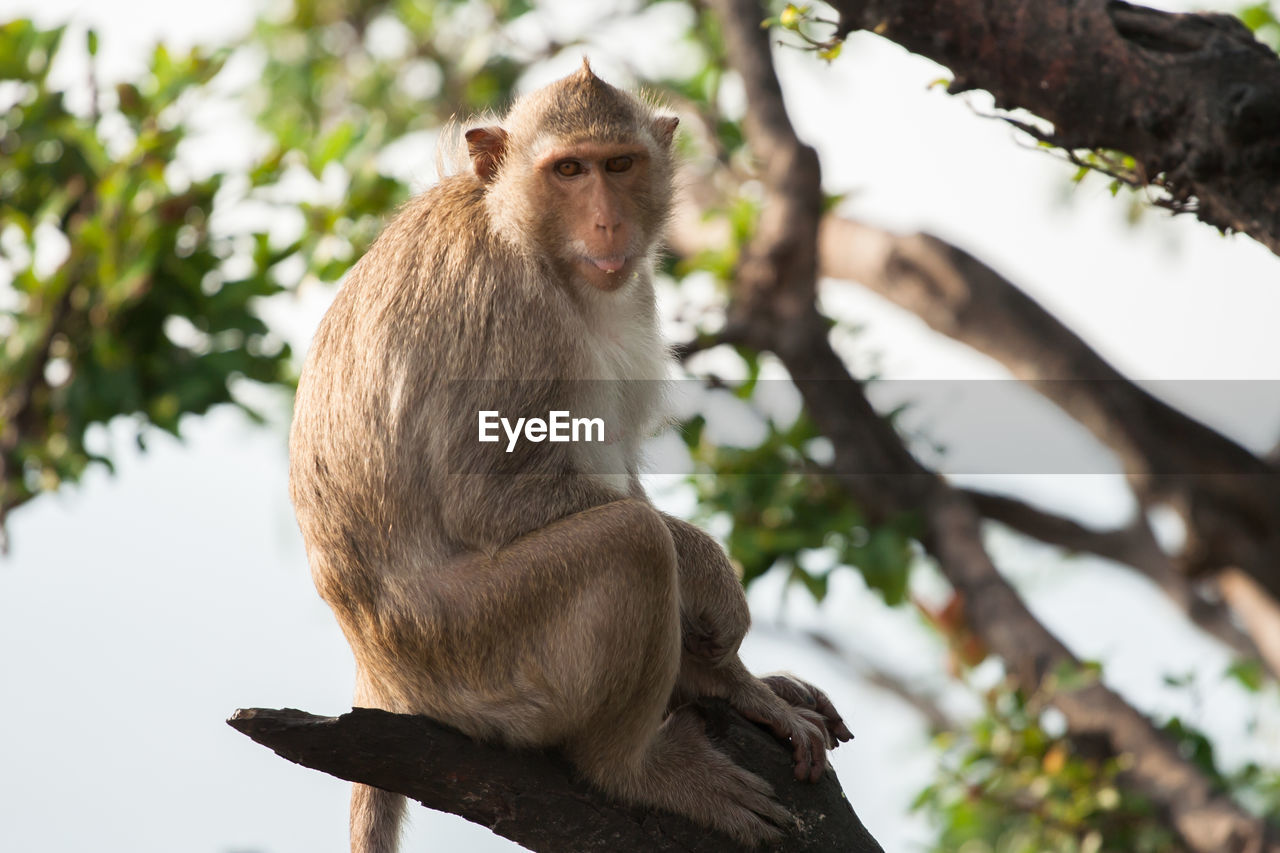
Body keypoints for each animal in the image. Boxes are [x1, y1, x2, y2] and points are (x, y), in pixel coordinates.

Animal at [289, 61, 849, 850]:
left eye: (619, 165)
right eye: (568, 170)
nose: (608, 222)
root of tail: (380, 679)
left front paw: (738, 681)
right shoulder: (509, 315)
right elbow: (487, 496)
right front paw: (712, 578)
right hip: (476, 653)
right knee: (633, 545)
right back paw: (637, 769)